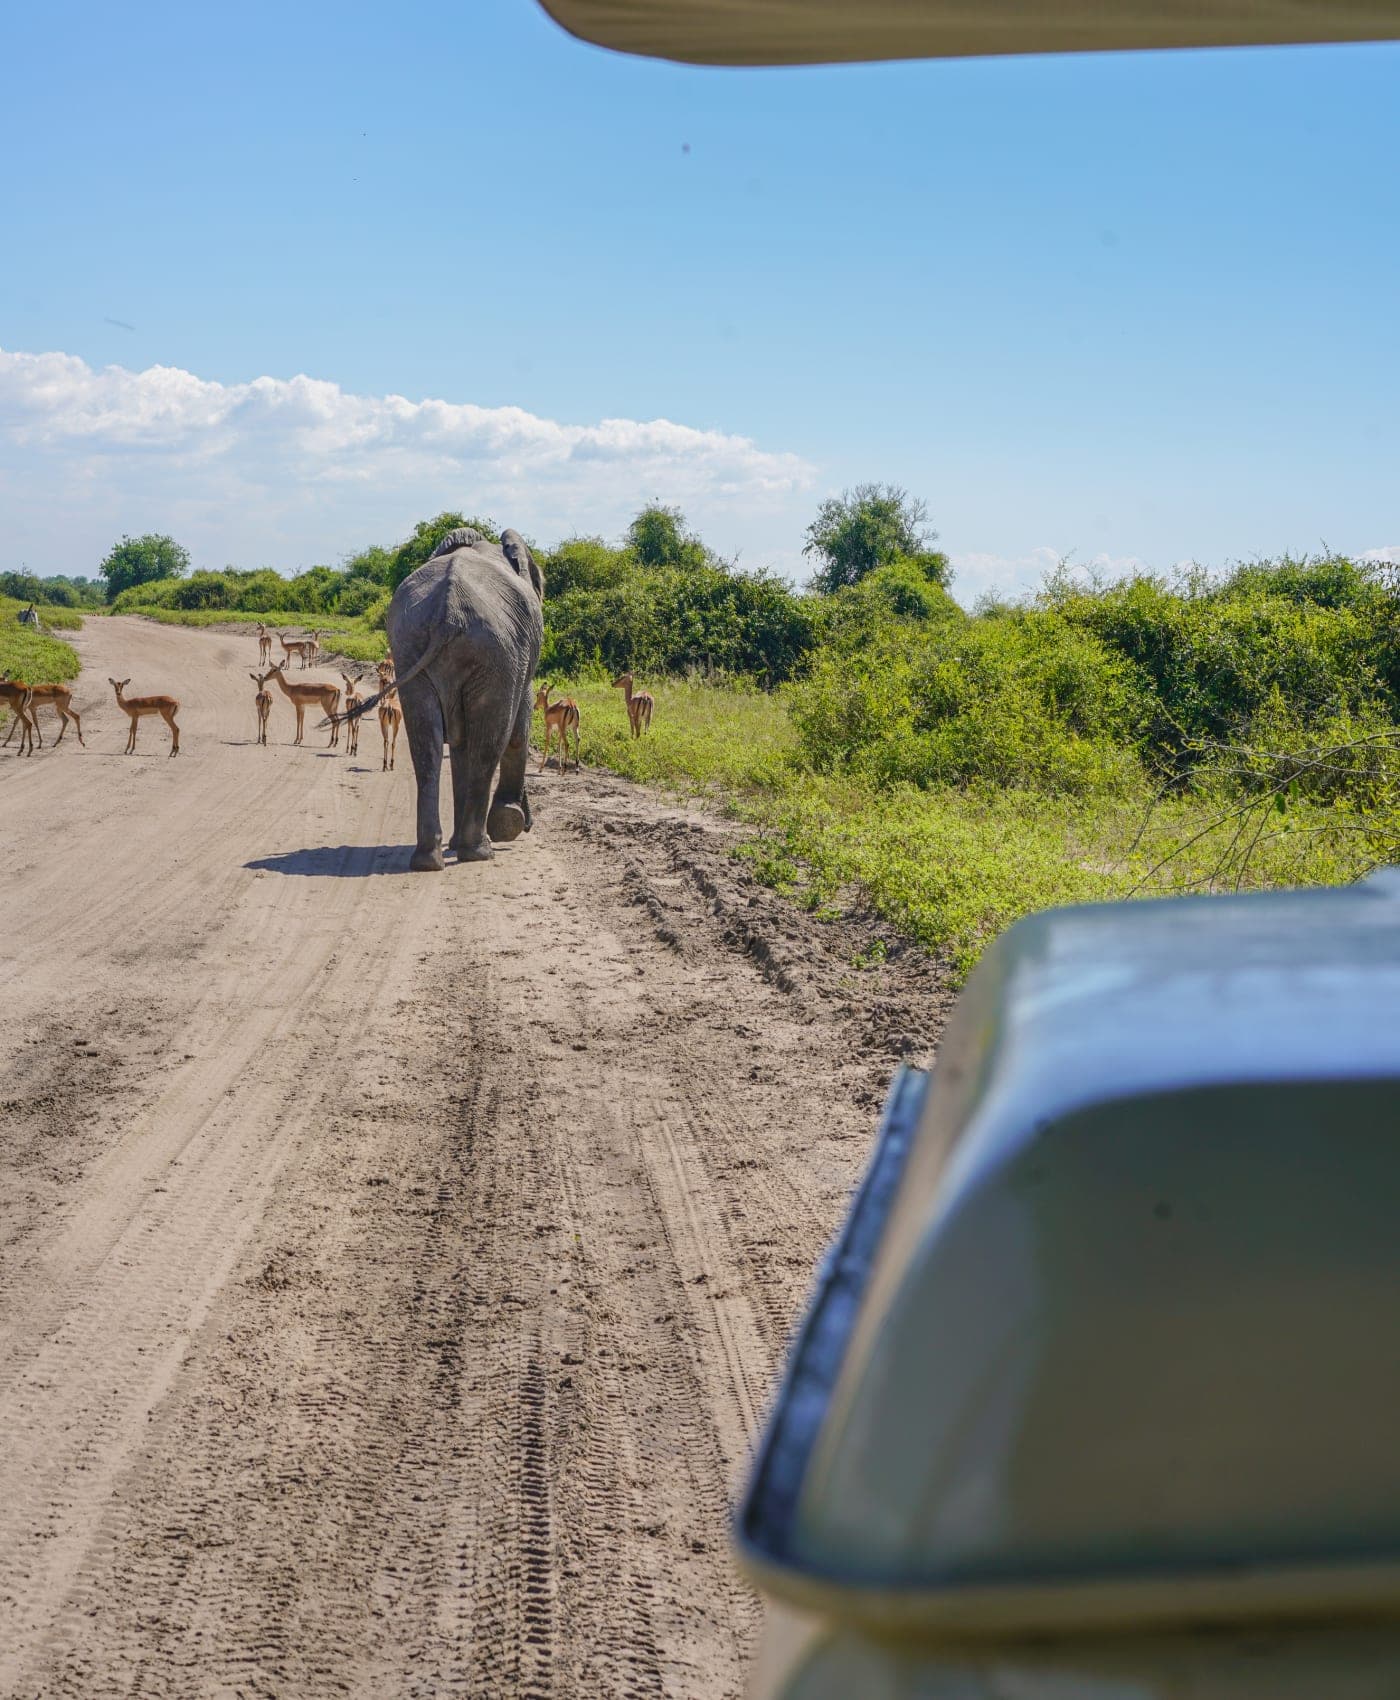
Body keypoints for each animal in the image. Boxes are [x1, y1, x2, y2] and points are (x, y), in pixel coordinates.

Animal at [348, 526, 544, 871]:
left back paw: (429, 859)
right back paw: (478, 851)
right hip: (496, 654)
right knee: (488, 744)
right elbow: (518, 730)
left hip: (412, 647)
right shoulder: (520, 661)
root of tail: (448, 611)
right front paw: (508, 824)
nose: (530, 824)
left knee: (426, 747)